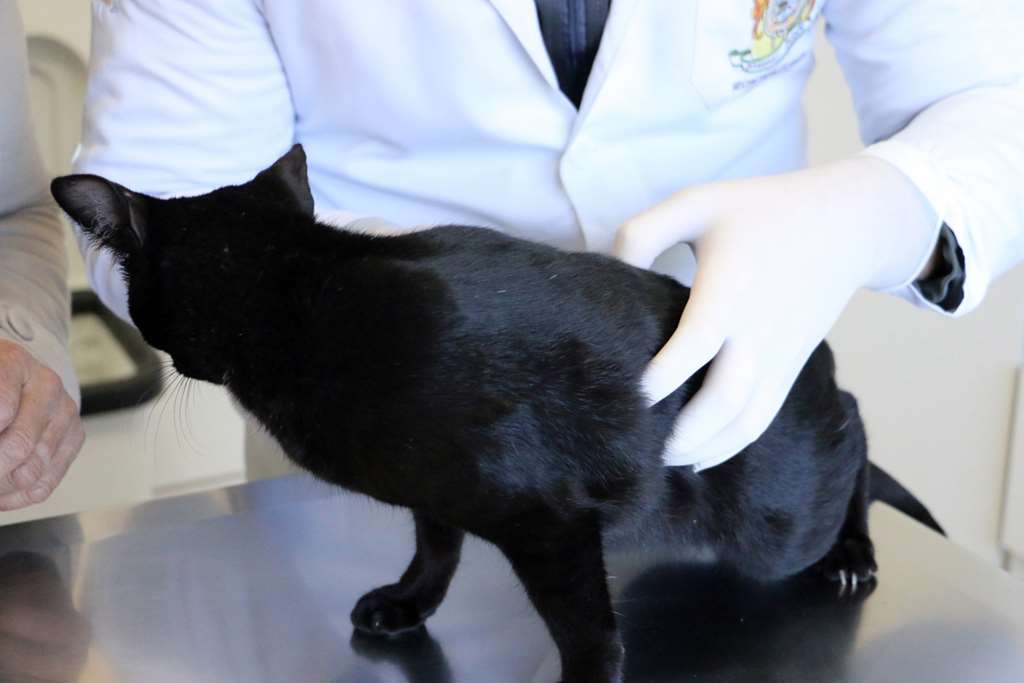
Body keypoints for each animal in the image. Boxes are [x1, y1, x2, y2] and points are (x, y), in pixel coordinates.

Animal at [51, 147, 937, 679]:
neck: (305, 290)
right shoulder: (436, 493)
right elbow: (435, 548)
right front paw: (409, 602)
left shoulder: (548, 519)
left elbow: (585, 624)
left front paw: (589, 675)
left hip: (775, 519)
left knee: (856, 434)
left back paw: (852, 549)